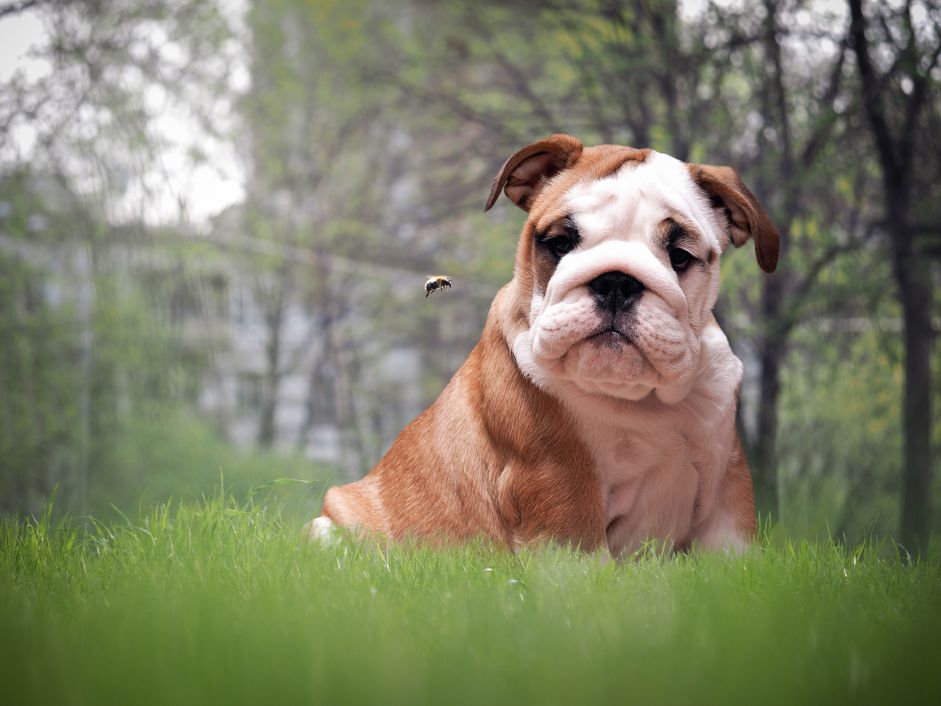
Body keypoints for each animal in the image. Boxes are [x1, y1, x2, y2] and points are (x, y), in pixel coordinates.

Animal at [308, 133, 780, 556]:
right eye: (560, 243)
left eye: (680, 256)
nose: (616, 281)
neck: (642, 400)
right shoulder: (560, 484)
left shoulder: (725, 492)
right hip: (332, 527)